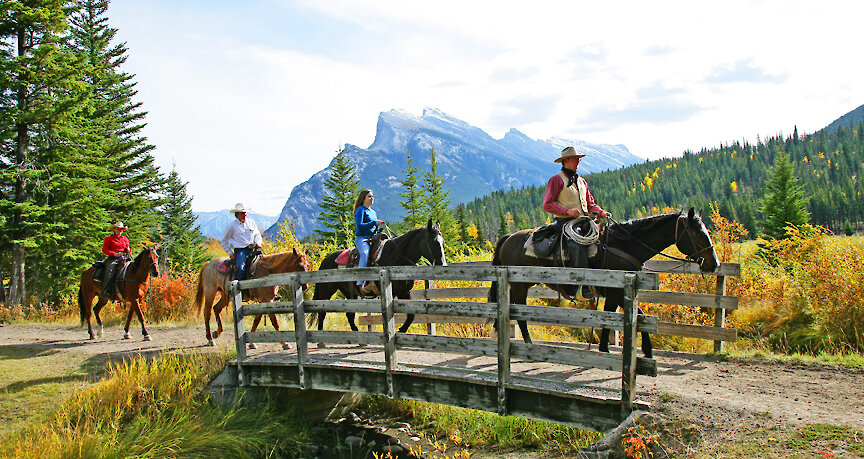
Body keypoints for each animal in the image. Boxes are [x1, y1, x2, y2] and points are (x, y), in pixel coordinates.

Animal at [308, 219, 446, 334]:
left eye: (443, 242)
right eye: (433, 241)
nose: (442, 264)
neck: (396, 256)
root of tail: (326, 260)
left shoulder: (404, 292)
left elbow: (411, 315)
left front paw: (402, 330)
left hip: (349, 292)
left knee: (349, 314)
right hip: (326, 291)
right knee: (321, 312)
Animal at [490, 208, 720, 360]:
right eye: (698, 233)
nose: (714, 264)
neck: (624, 245)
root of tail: (508, 237)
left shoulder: (614, 293)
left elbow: (611, 318)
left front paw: (605, 350)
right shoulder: (617, 292)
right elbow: (637, 315)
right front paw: (645, 350)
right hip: (519, 285)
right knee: (518, 311)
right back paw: (528, 343)